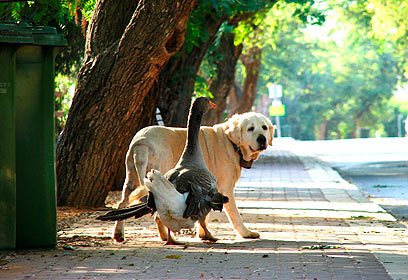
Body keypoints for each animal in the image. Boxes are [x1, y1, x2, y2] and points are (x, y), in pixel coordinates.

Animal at [113, 111, 276, 241]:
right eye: (250, 129)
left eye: (264, 127)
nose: (262, 139)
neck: (231, 143)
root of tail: (142, 143)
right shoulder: (225, 189)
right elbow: (235, 215)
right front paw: (246, 233)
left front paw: (202, 233)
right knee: (158, 213)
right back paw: (166, 237)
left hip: (131, 179)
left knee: (121, 204)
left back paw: (119, 234)